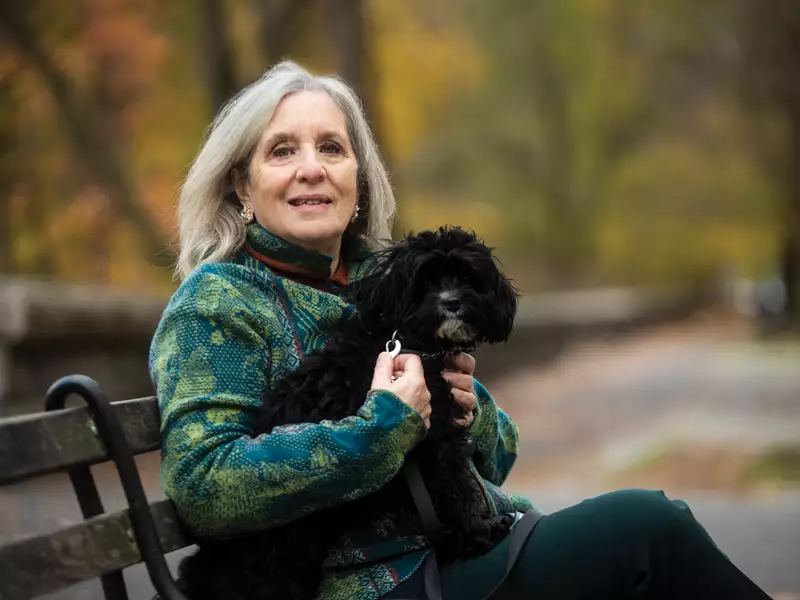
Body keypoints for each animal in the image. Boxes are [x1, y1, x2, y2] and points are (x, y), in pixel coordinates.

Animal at [177, 226, 520, 600]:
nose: (452, 301)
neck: (412, 344)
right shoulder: (434, 442)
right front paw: (479, 533)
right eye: (424, 282)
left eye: (468, 276)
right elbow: (457, 491)